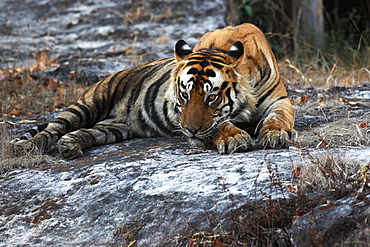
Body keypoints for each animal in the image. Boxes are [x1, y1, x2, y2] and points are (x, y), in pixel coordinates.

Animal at [10, 24, 294, 159]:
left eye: (211, 97)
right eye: (184, 96)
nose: (189, 130)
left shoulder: (279, 100)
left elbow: (279, 118)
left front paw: (275, 135)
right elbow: (219, 125)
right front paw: (235, 137)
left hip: (116, 127)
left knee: (87, 132)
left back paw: (70, 146)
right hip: (88, 104)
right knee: (53, 128)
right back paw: (25, 147)